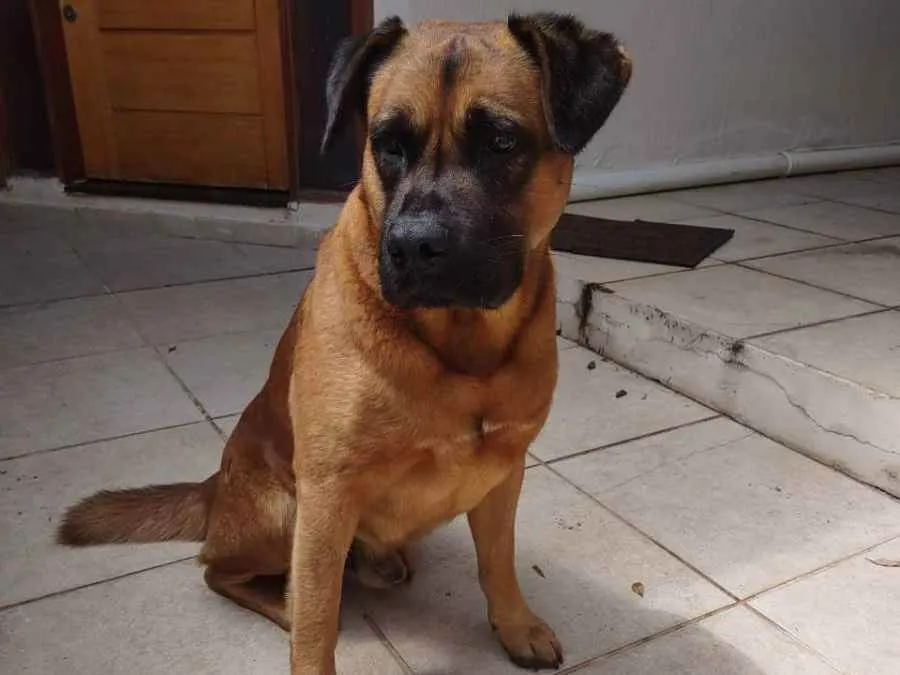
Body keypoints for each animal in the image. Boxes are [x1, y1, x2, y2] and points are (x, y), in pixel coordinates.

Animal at [58, 13, 631, 674]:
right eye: (389, 144)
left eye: (501, 142)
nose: (412, 246)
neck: (458, 345)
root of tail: (215, 486)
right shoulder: (328, 496)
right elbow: (315, 626)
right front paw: (310, 629)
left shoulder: (502, 472)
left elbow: (498, 562)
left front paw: (513, 624)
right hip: (284, 515)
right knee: (223, 573)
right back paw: (283, 601)